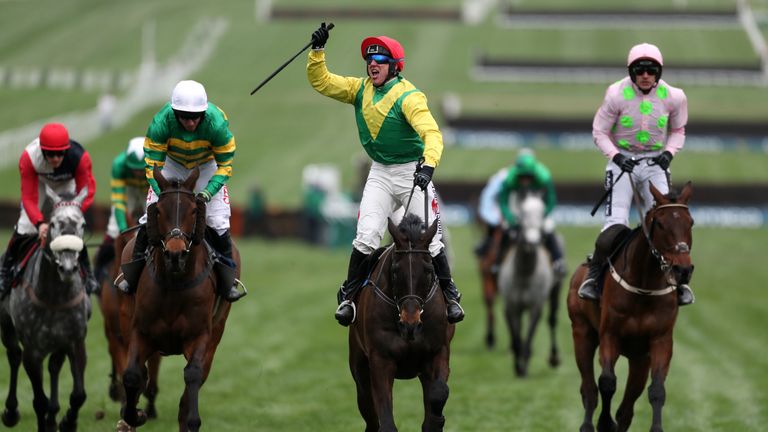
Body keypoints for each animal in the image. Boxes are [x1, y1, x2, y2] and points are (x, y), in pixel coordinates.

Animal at [0, 187, 91, 430]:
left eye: (83, 224)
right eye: (53, 224)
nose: (68, 267)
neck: (55, 297)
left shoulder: (75, 341)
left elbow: (79, 395)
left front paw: (67, 421)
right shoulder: (33, 351)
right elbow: (38, 400)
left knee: (54, 366)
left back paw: (54, 413)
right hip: (7, 327)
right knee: (14, 356)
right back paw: (11, 411)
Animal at [119, 167, 234, 430]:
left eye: (193, 210)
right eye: (159, 210)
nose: (175, 255)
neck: (174, 283)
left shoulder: (201, 335)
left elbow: (192, 376)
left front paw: (192, 420)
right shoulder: (140, 330)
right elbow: (132, 375)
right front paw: (133, 416)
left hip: (217, 331)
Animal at [346, 213, 450, 432]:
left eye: (429, 270)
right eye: (395, 271)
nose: (410, 324)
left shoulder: (438, 351)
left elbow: (439, 393)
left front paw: (436, 421)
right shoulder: (380, 359)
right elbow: (385, 420)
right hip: (359, 367)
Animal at [496, 194, 560, 376]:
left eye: (542, 211)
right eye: (523, 212)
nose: (533, 241)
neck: (525, 273)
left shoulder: (535, 306)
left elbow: (530, 335)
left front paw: (524, 367)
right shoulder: (513, 305)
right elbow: (516, 334)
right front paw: (518, 367)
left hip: (556, 289)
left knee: (552, 320)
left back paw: (554, 357)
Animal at [564, 181, 696, 432]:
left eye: (690, 222)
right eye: (661, 224)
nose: (683, 270)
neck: (643, 287)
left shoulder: (660, 340)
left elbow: (657, 390)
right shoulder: (610, 335)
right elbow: (607, 382)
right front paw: (604, 423)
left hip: (639, 358)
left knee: (627, 407)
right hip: (581, 333)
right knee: (589, 388)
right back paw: (588, 424)